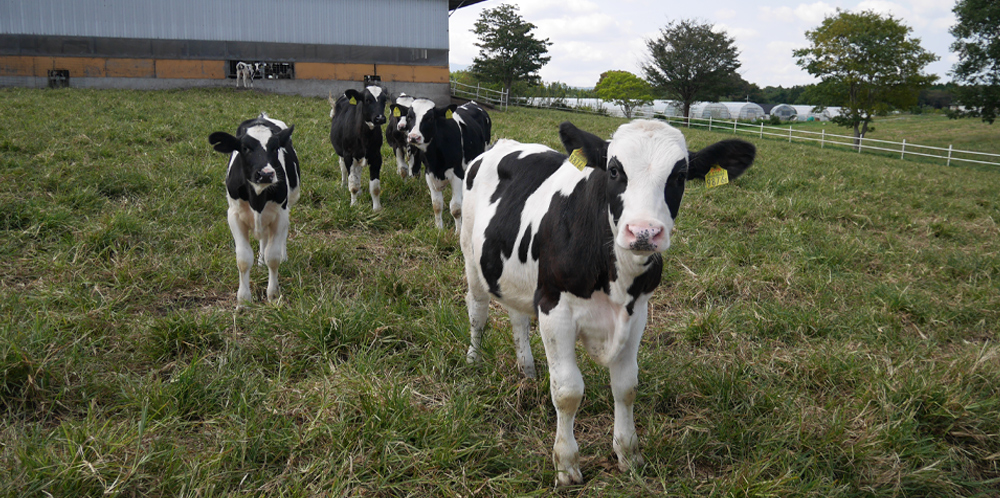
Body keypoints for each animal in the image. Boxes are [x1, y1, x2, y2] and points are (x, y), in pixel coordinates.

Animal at [210, 113, 300, 306]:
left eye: (275, 147)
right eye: (245, 148)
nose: (266, 174)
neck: (257, 197)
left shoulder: (280, 214)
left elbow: (273, 257)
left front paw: (272, 295)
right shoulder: (234, 216)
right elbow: (243, 259)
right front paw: (243, 300)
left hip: (287, 206)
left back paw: (282, 256)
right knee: (263, 239)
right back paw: (260, 263)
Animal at [400, 100, 490, 234]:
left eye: (430, 118)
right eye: (409, 117)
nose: (414, 137)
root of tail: (473, 103)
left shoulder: (457, 174)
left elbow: (456, 208)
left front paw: (458, 232)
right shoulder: (429, 174)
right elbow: (437, 205)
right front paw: (439, 229)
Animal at [458, 118, 752, 484]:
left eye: (680, 175)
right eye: (614, 170)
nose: (643, 232)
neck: (615, 278)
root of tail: (505, 143)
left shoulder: (637, 313)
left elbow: (626, 387)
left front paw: (628, 454)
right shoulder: (554, 306)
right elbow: (567, 391)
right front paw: (566, 464)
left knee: (517, 317)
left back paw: (526, 369)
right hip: (471, 255)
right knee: (478, 311)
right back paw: (473, 359)